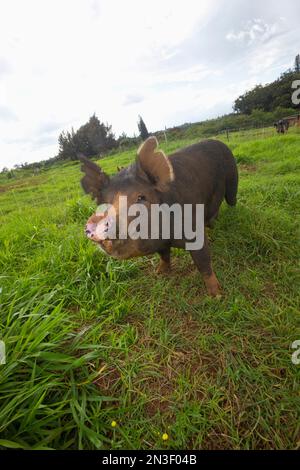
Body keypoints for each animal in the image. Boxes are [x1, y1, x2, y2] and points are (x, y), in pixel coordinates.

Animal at [79, 138, 237, 296]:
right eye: (103, 204)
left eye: (141, 197)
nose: (98, 222)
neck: (167, 237)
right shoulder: (161, 244)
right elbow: (163, 256)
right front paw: (159, 273)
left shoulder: (194, 231)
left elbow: (203, 261)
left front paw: (216, 294)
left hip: (232, 181)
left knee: (231, 201)